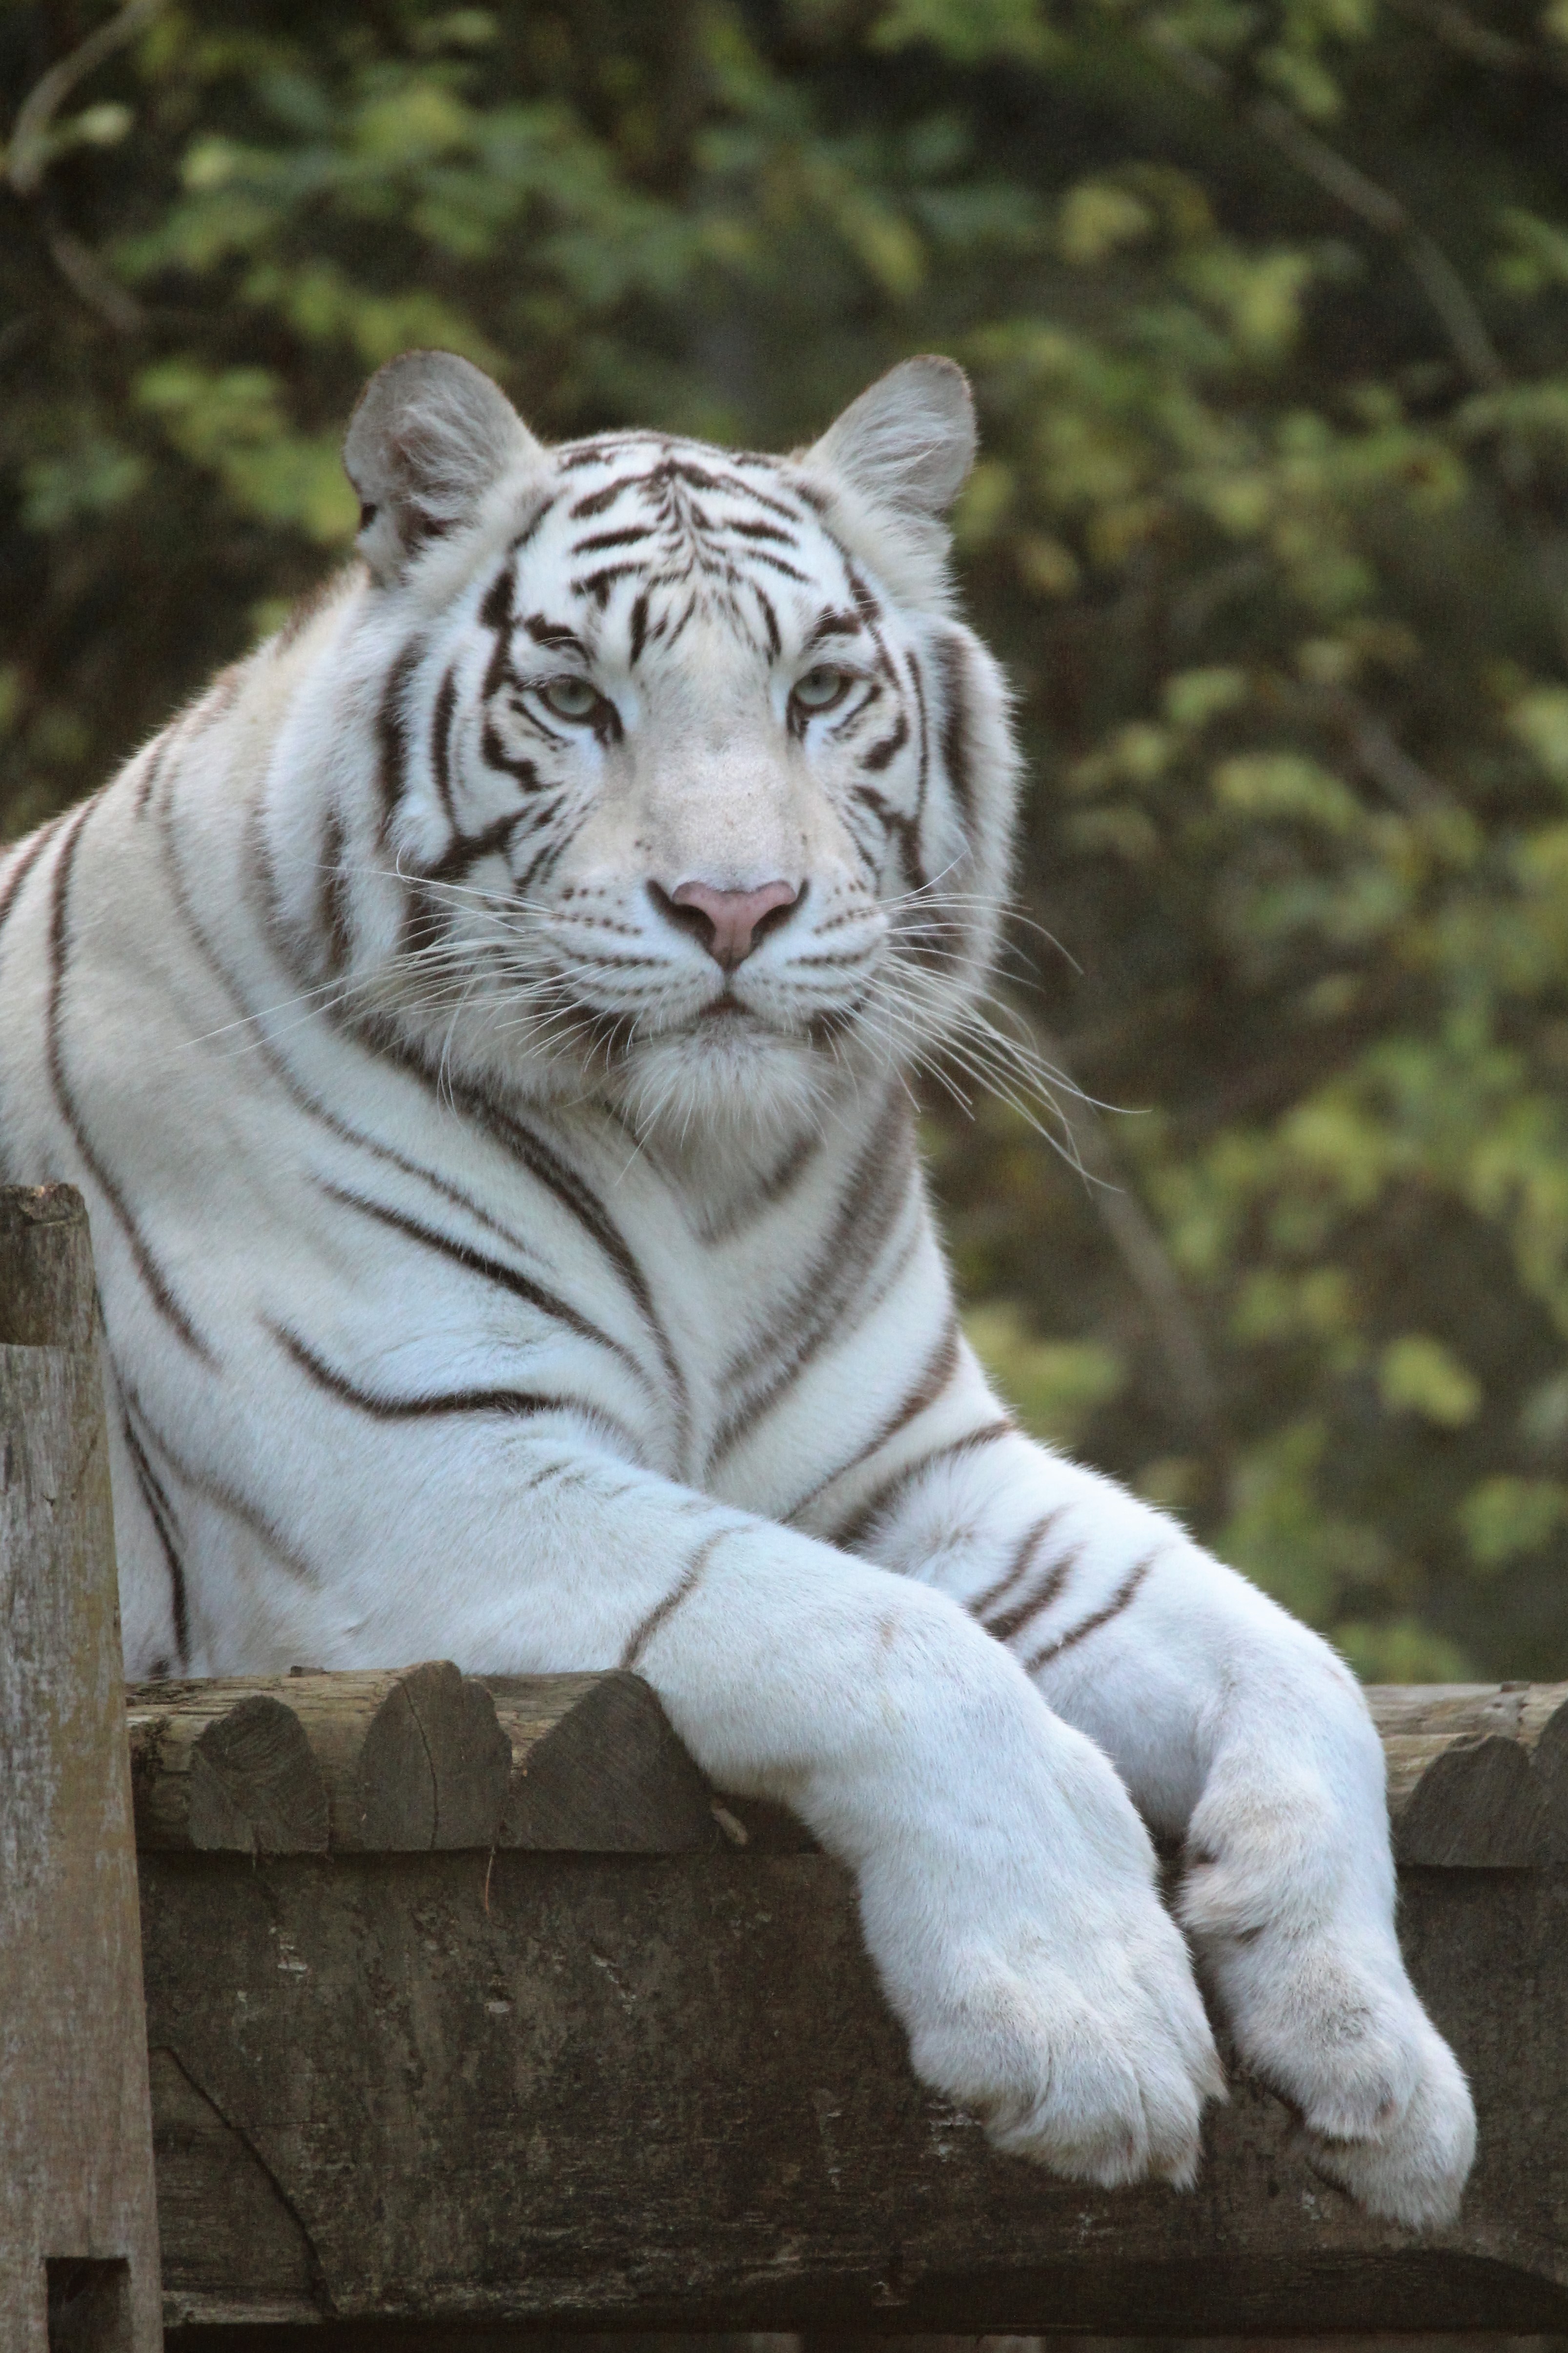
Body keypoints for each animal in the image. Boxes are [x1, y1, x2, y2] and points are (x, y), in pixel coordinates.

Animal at [0, 348, 1469, 2221]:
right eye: (573, 699)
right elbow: (880, 1636)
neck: (703, 1175)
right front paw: (1087, 2025)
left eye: (821, 690)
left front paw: (1377, 2056)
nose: (734, 904)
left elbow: (1298, 1661)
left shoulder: (919, 1468)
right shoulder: (410, 1476)